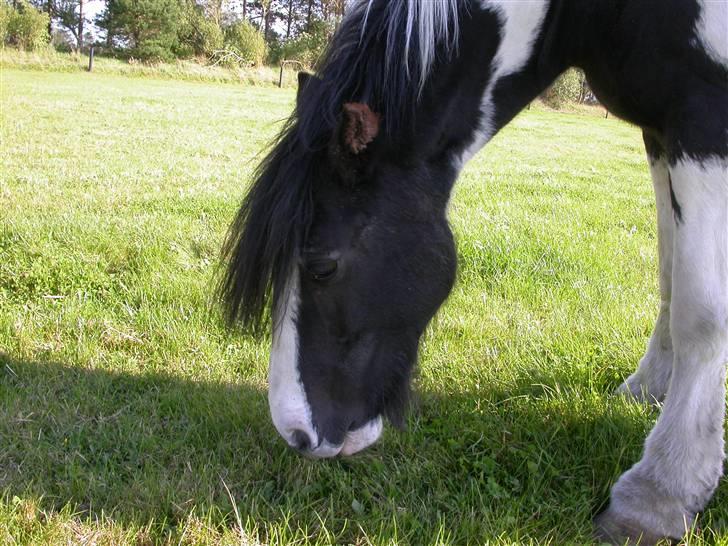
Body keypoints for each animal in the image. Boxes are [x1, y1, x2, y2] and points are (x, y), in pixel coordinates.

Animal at [218, 2, 728, 540]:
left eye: (321, 267)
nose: (295, 433)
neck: (589, 15)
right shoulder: (659, 130)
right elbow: (670, 274)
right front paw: (649, 388)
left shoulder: (702, 119)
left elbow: (700, 311)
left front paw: (660, 490)